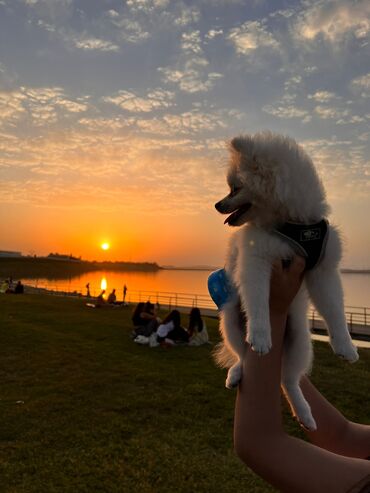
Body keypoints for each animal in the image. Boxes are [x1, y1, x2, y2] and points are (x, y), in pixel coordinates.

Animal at [214, 132, 358, 430]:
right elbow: (258, 302)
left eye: (234, 189)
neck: (291, 222)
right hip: (230, 322)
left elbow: (335, 311)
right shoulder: (256, 261)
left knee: (288, 380)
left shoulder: (323, 271)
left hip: (301, 342)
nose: (217, 205)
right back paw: (236, 373)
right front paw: (260, 336)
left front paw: (345, 346)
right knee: (242, 355)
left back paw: (304, 413)